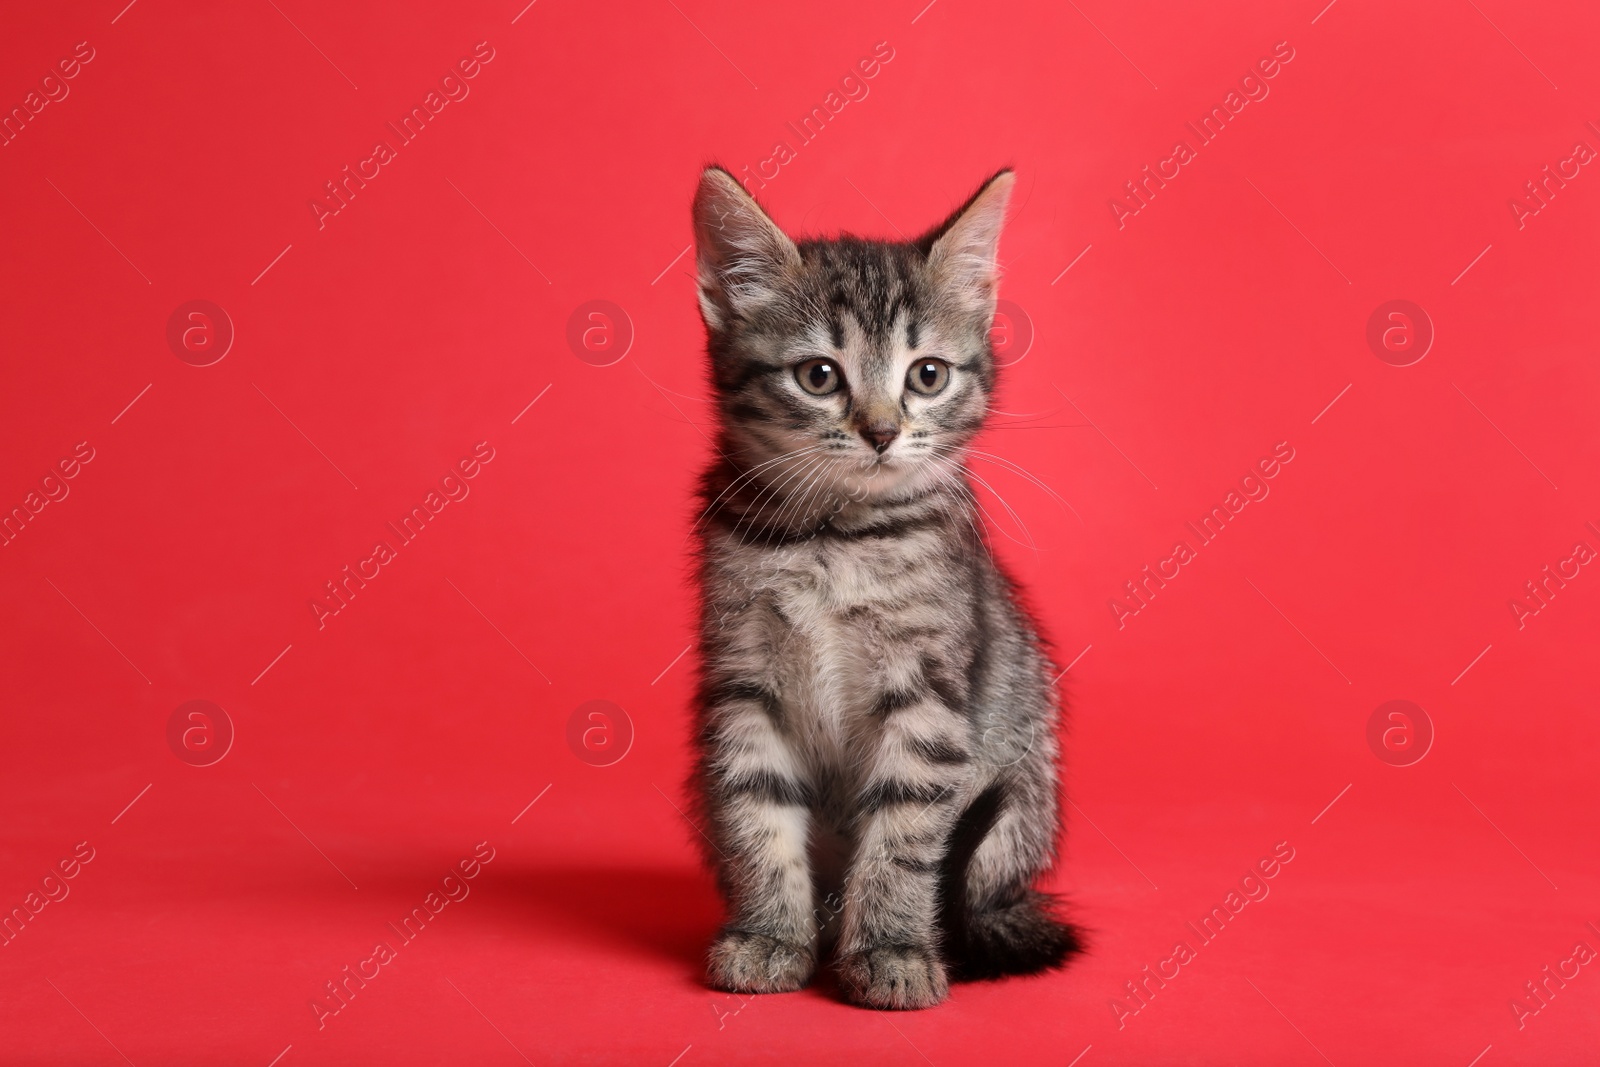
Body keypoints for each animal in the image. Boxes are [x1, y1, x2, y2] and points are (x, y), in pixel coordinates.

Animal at [684, 167, 1075, 1011]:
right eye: (818, 375)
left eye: (926, 374)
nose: (882, 430)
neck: (835, 537)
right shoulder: (742, 679)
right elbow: (755, 809)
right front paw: (769, 934)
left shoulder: (927, 691)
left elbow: (904, 830)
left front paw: (892, 948)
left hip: (1020, 799)